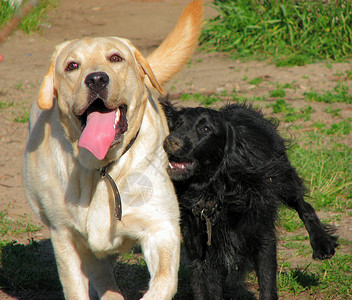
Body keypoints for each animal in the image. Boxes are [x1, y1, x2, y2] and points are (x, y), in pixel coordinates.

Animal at [22, 1, 204, 298]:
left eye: (116, 58)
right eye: (72, 66)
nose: (96, 79)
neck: (103, 167)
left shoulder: (161, 228)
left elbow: (164, 281)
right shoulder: (65, 238)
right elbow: (76, 287)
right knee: (102, 277)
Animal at [162, 99, 338, 298]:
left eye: (206, 129)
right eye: (176, 124)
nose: (171, 141)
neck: (214, 195)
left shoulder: (263, 237)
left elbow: (268, 285)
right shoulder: (199, 252)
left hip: (284, 179)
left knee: (304, 205)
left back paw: (322, 244)